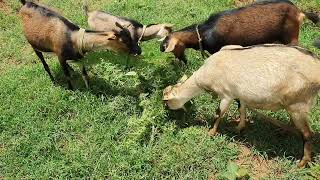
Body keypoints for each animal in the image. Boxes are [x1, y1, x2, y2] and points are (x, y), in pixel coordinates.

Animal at [164, 44, 320, 168]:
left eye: (166, 102)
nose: (167, 113)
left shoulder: (226, 95)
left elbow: (218, 113)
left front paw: (210, 132)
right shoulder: (239, 93)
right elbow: (242, 109)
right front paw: (239, 127)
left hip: (298, 104)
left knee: (308, 134)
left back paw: (302, 162)